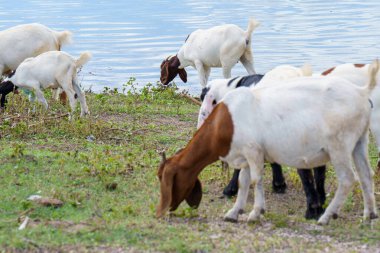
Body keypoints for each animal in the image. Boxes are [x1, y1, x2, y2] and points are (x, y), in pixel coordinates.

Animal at [157, 59, 380, 225]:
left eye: (167, 179)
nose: (164, 211)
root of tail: (362, 92)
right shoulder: (251, 152)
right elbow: (246, 179)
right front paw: (236, 210)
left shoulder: (252, 150)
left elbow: (254, 179)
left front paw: (251, 209)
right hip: (356, 143)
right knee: (362, 174)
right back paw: (365, 214)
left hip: (335, 146)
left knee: (345, 178)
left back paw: (320, 214)